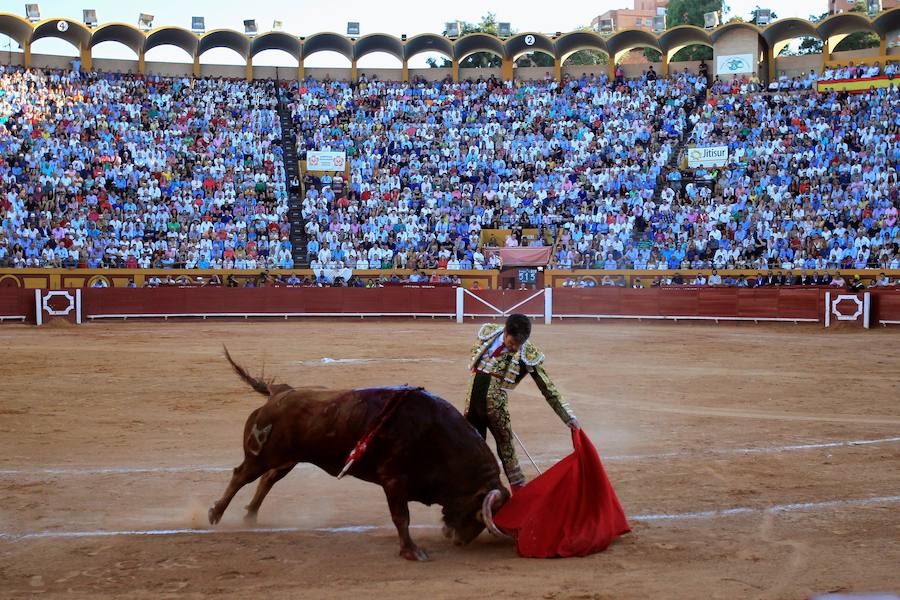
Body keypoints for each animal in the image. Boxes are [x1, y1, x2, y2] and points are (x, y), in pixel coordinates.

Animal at [207, 350, 510, 560]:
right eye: (478, 512)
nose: (459, 541)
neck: (437, 436)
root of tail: (280, 392)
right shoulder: (394, 480)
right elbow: (402, 517)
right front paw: (412, 552)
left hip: (287, 459)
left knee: (267, 479)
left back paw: (250, 516)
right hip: (262, 454)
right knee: (241, 475)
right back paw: (215, 514)